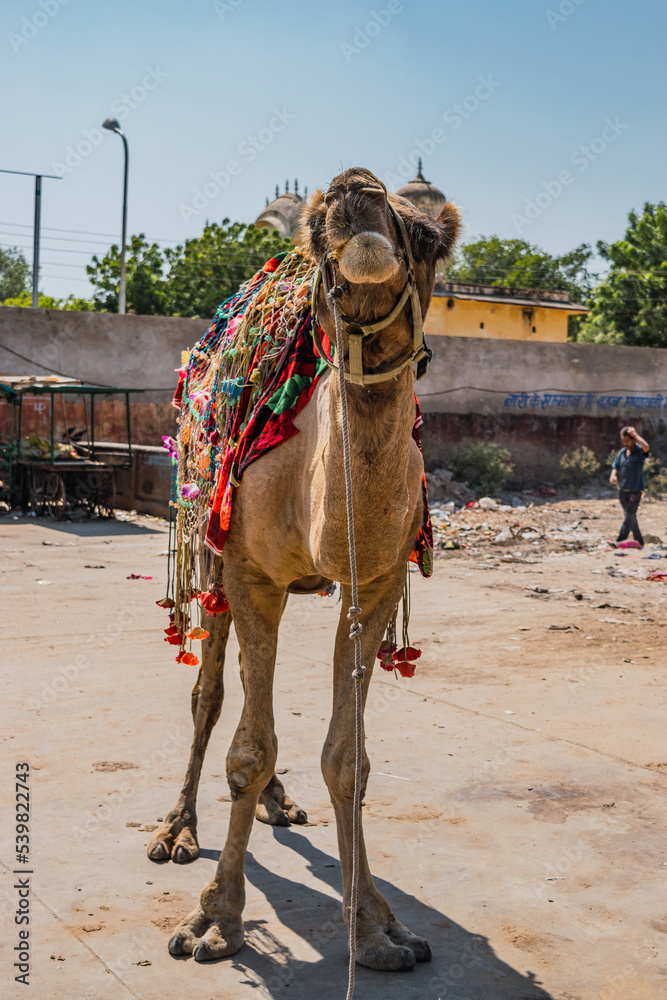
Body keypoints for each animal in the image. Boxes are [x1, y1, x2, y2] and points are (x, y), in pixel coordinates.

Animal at [148, 167, 461, 971]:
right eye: (318, 231)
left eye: (425, 236)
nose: (357, 189)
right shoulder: (251, 573)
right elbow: (246, 748)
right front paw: (214, 922)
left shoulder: (374, 580)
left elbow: (349, 761)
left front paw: (378, 928)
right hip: (209, 550)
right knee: (208, 695)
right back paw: (177, 829)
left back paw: (279, 803)